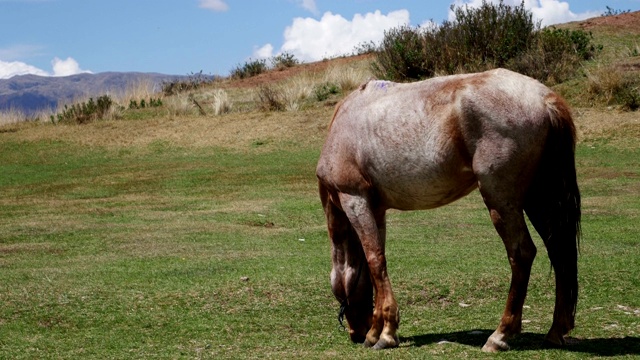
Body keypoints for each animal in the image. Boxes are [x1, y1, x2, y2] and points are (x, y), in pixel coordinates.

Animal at [316, 67, 580, 352]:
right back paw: (556, 330)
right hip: (539, 197)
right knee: (559, 251)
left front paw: (384, 334)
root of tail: (544, 98)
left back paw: (500, 335)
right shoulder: (377, 211)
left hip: (502, 200)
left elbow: (375, 261)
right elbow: (375, 262)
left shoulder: (355, 200)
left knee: (522, 254)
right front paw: (377, 330)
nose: (356, 333)